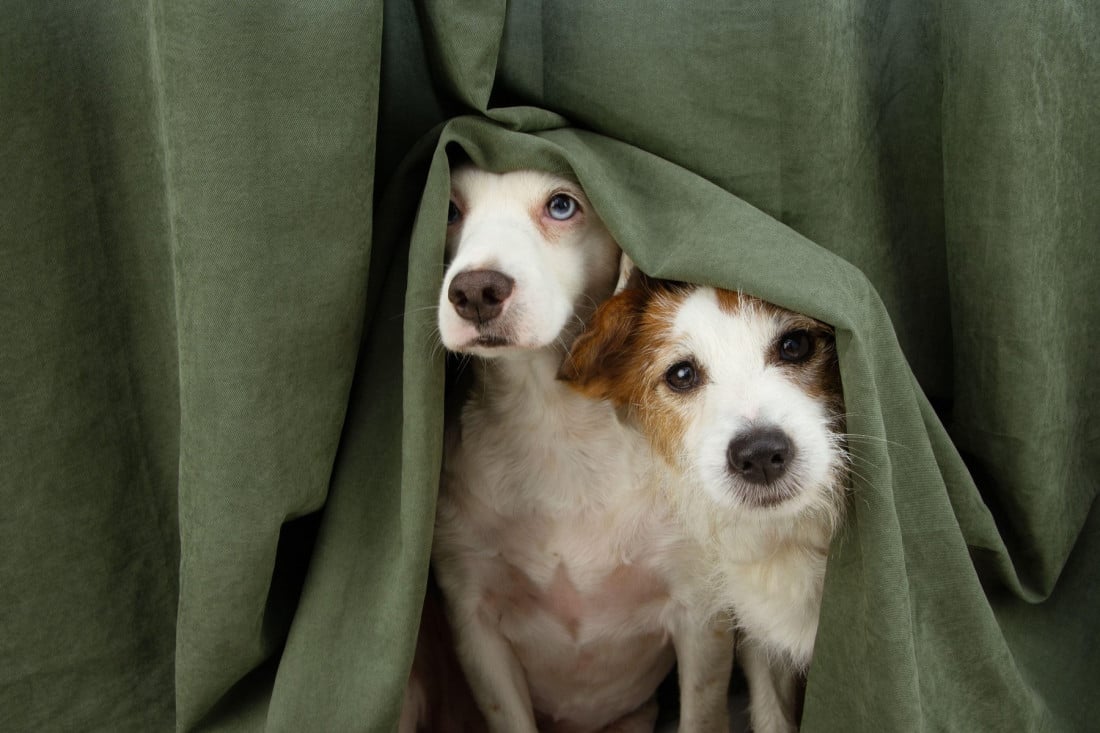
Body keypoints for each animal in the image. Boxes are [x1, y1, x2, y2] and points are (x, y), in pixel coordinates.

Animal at [424, 167, 734, 730]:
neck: (554, 425)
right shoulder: (474, 621)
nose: (475, 290)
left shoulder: (701, 612)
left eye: (562, 205)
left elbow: (701, 713)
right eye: (450, 209)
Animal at [563, 269, 844, 730]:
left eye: (795, 345)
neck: (794, 538)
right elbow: (772, 715)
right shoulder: (763, 645)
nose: (759, 454)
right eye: (681, 374)